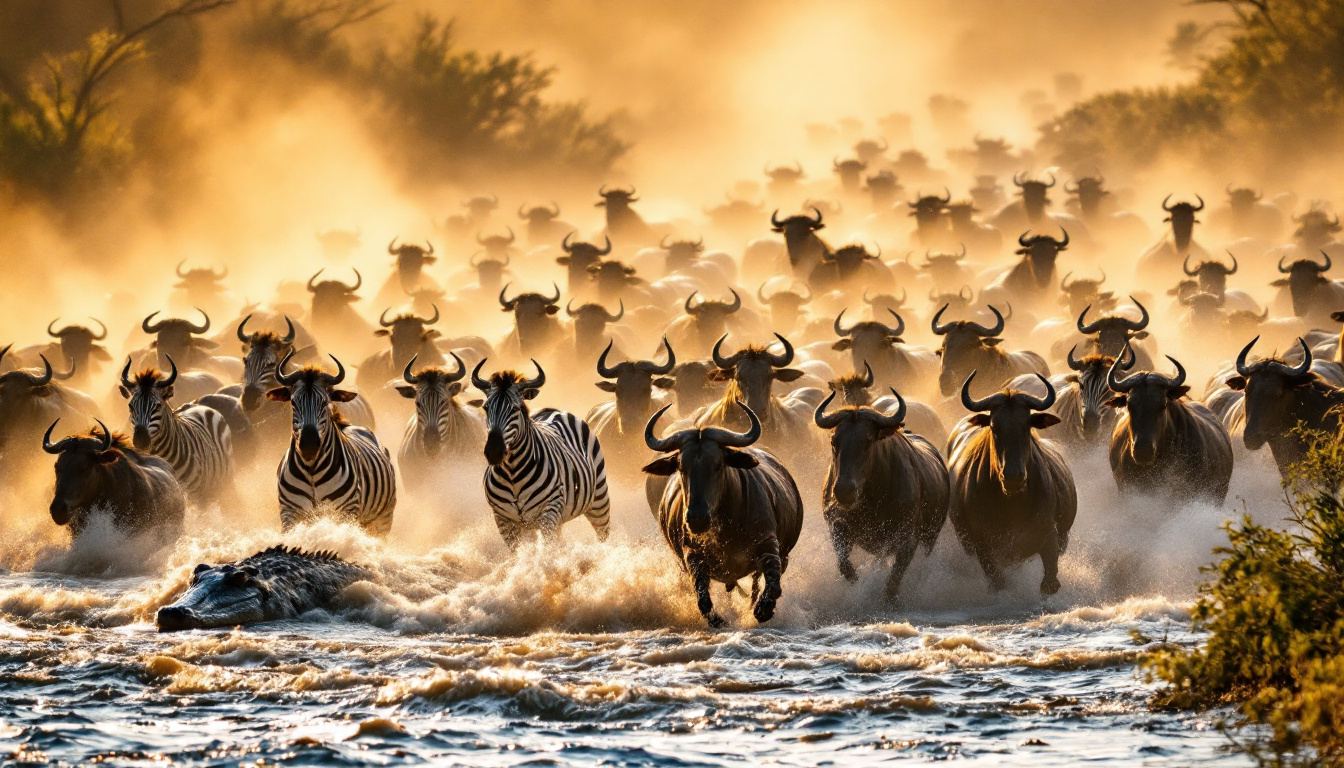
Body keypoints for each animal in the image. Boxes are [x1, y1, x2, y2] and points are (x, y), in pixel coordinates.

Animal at [264, 352, 395, 538]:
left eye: (324, 402)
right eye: (293, 403)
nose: (309, 444)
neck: (311, 469)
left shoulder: (345, 513)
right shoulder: (290, 512)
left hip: (382, 519)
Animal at [470, 360, 612, 546]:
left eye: (515, 408)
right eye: (486, 408)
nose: (494, 452)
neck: (512, 474)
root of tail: (553, 410)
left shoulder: (549, 511)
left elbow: (549, 551)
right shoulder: (503, 520)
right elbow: (519, 552)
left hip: (598, 500)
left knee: (603, 533)